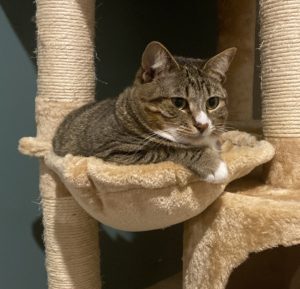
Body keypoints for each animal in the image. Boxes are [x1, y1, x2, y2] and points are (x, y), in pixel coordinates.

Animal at [52, 40, 236, 182]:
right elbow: (170, 149)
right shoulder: (115, 150)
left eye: (212, 102)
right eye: (178, 102)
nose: (202, 125)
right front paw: (213, 164)